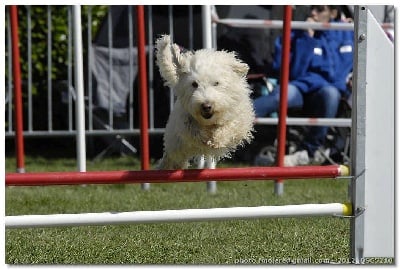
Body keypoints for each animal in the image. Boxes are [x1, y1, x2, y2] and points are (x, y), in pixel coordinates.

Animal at [155, 33, 255, 169]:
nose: (206, 106)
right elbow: (192, 128)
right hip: (176, 143)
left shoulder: (240, 118)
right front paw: (204, 137)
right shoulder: (184, 120)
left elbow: (230, 125)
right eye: (194, 84)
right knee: (172, 157)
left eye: (216, 83)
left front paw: (217, 138)